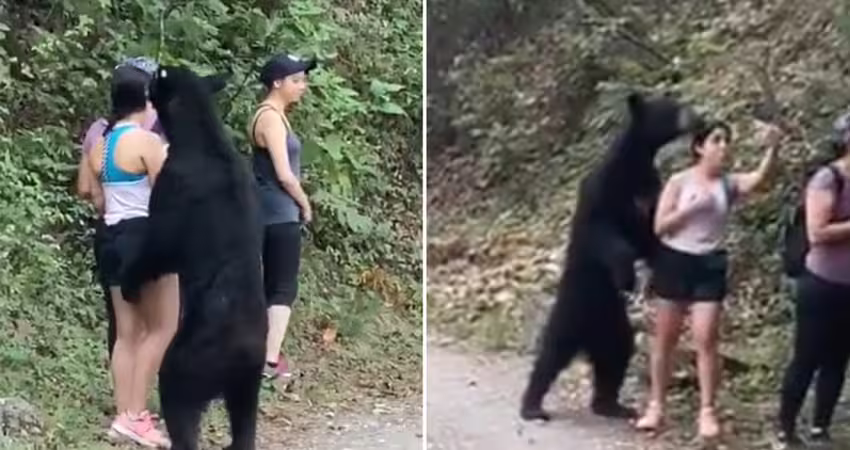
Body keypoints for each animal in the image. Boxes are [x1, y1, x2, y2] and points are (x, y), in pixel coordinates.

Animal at [120, 66, 267, 450]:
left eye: (158, 77)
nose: (148, 78)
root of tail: (241, 351)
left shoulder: (172, 186)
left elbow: (158, 247)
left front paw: (129, 282)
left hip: (188, 362)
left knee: (178, 403)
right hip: (248, 384)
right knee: (245, 424)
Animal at [519, 92, 701, 422]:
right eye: (670, 107)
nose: (696, 115)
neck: (635, 164)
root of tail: (590, 332)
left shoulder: (650, 191)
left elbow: (650, 235)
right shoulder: (605, 191)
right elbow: (604, 233)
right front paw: (627, 273)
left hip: (613, 323)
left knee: (617, 353)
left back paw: (611, 405)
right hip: (574, 307)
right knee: (553, 352)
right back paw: (532, 405)